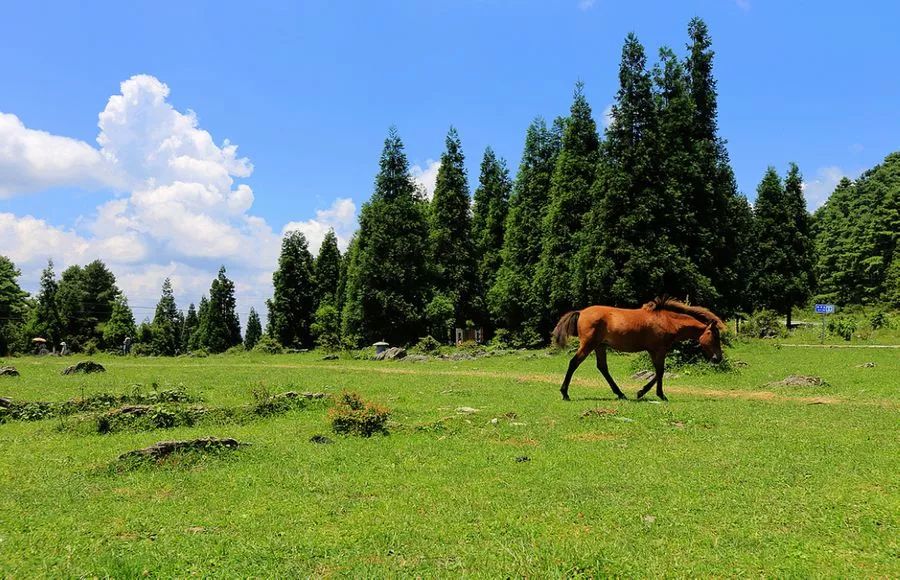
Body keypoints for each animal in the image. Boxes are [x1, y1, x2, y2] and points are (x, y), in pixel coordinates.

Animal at [548, 296, 724, 402]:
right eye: (714, 336)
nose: (718, 358)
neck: (668, 321)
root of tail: (581, 312)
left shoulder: (655, 351)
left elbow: (658, 372)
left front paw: (643, 392)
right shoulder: (658, 350)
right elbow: (660, 372)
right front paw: (657, 394)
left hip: (600, 346)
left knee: (602, 368)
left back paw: (620, 394)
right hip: (588, 345)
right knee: (574, 363)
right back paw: (565, 393)